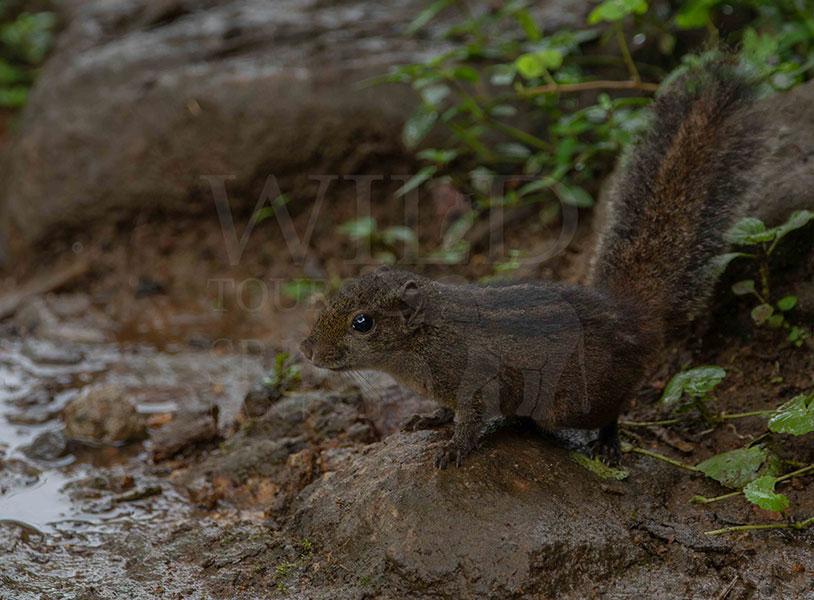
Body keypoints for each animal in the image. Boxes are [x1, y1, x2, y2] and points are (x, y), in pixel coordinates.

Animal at [300, 55, 762, 468]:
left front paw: (454, 449)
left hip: (579, 400)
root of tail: (631, 317)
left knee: (613, 410)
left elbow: (470, 421)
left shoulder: (476, 380)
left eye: (362, 323)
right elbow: (448, 411)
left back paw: (608, 444)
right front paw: (430, 417)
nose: (306, 349)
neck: (426, 339)